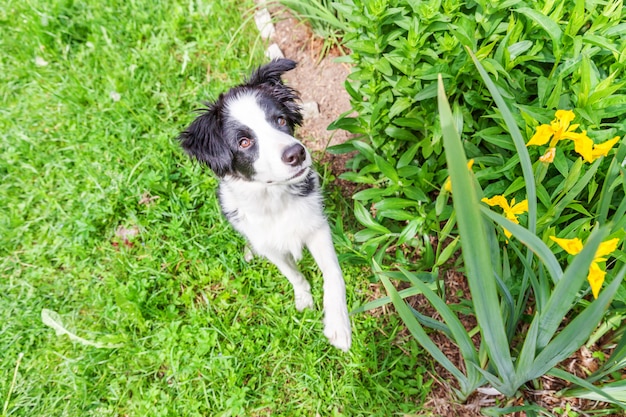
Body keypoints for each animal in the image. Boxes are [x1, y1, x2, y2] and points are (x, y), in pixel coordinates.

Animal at [177, 58, 352, 352]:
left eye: (280, 120)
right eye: (244, 142)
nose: (296, 153)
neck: (274, 199)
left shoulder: (316, 226)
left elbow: (333, 273)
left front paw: (338, 325)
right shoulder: (267, 242)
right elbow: (290, 272)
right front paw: (304, 298)